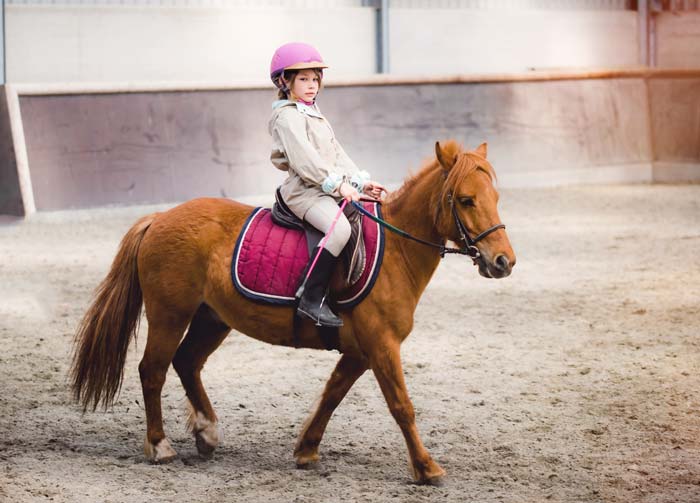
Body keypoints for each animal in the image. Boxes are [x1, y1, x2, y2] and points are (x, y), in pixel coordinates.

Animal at [71, 141, 516, 484]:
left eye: (495, 199)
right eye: (466, 200)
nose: (503, 262)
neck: (397, 252)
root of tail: (160, 217)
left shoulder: (360, 351)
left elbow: (332, 396)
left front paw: (306, 450)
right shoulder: (382, 345)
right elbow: (401, 406)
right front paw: (426, 468)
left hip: (212, 318)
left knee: (187, 362)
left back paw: (207, 433)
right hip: (169, 314)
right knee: (153, 370)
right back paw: (160, 446)